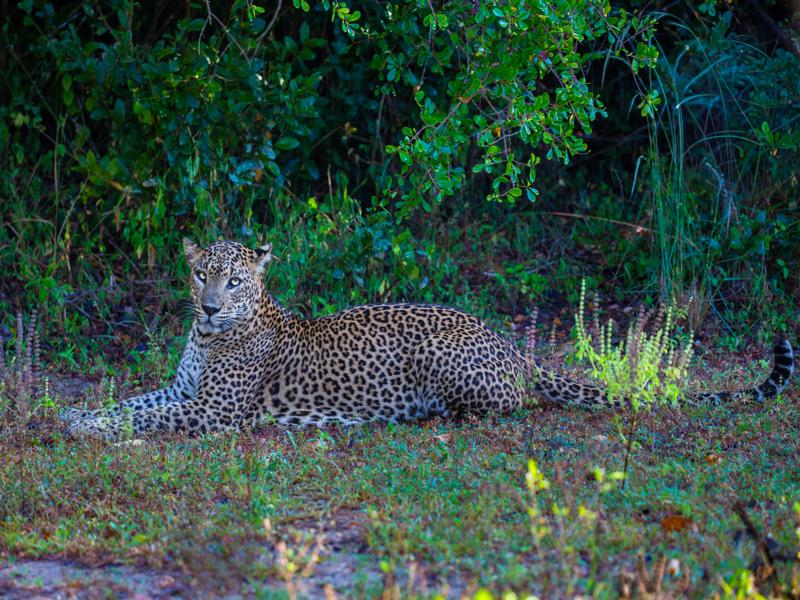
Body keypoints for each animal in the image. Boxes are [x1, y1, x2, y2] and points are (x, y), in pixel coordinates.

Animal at [63, 239, 795, 440]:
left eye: (236, 281)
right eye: (199, 274)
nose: (211, 308)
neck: (209, 338)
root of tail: (508, 343)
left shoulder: (212, 412)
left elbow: (148, 418)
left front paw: (91, 428)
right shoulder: (182, 390)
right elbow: (134, 401)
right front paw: (77, 415)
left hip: (442, 356)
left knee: (507, 405)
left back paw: (435, 414)